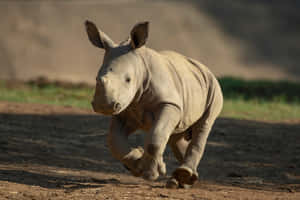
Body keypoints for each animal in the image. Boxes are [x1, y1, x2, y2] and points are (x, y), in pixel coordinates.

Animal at [84, 19, 223, 188]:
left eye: (128, 79)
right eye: (96, 78)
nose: (104, 106)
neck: (140, 66)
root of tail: (204, 67)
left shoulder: (169, 103)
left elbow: (155, 139)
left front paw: (150, 174)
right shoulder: (125, 108)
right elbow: (113, 141)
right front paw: (138, 164)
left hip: (213, 87)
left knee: (203, 126)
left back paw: (184, 175)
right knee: (176, 136)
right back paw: (182, 181)